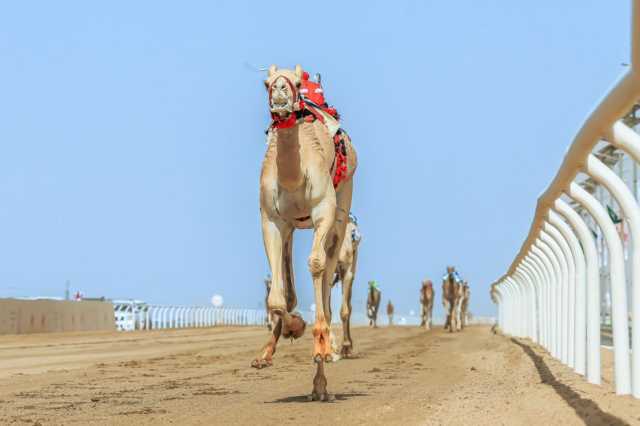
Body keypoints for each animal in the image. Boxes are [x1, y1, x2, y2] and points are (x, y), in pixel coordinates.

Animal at [254, 65, 356, 402]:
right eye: (266, 83)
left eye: (298, 83)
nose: (280, 93)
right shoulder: (271, 220)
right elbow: (277, 298)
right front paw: (292, 328)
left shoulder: (324, 210)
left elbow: (316, 266)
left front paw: (322, 344)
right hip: (292, 229)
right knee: (290, 286)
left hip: (341, 213)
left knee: (326, 278)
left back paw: (324, 367)